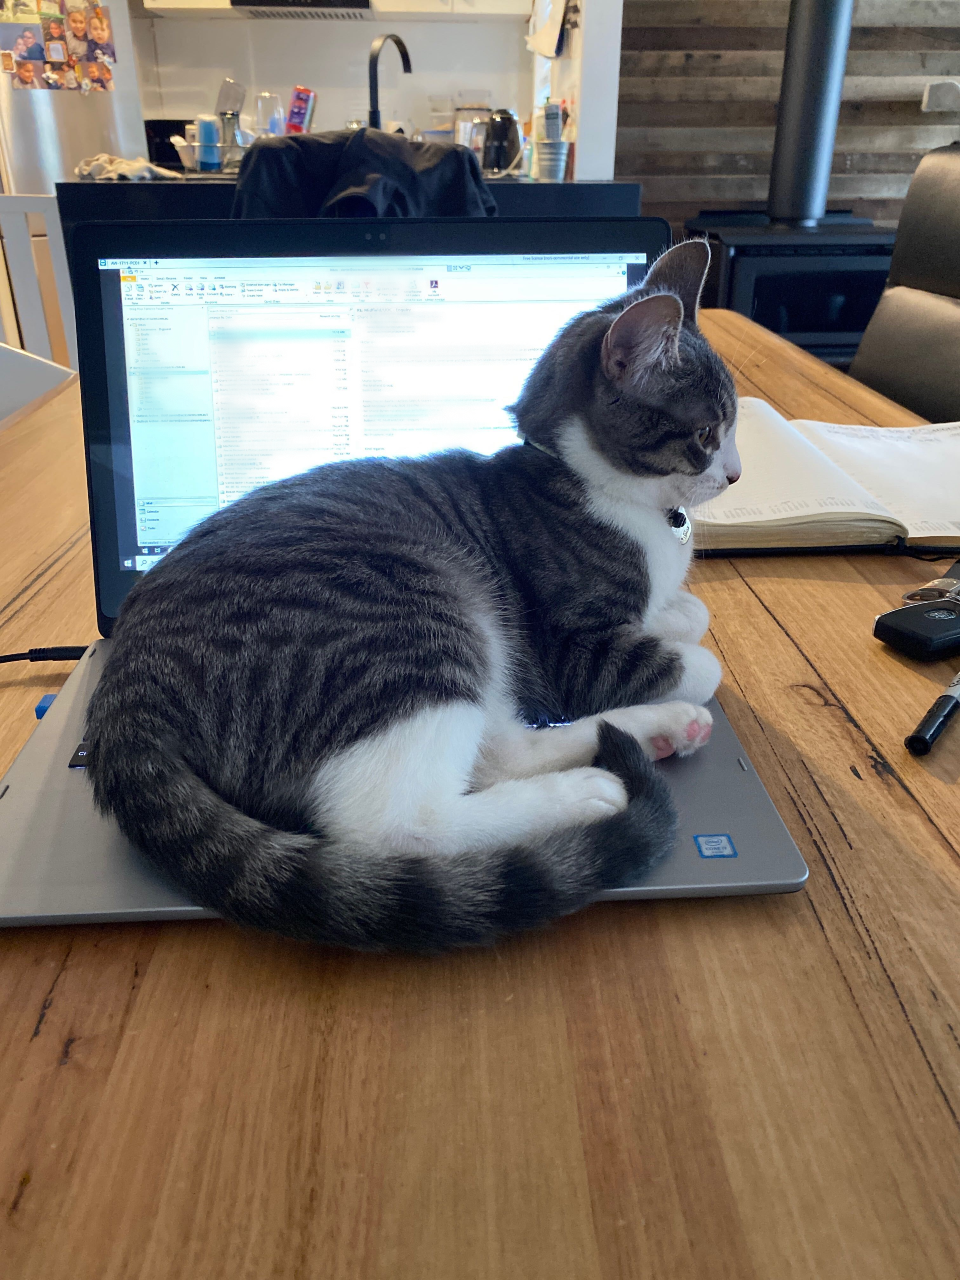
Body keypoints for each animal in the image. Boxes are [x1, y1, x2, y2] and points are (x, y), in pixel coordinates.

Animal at [86, 238, 742, 952]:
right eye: (707, 434)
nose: (735, 474)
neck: (591, 483)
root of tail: (126, 682)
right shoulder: (574, 649)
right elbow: (697, 662)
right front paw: (685, 654)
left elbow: (693, 611)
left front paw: (676, 615)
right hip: (414, 626)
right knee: (400, 825)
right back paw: (588, 793)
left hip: (476, 647)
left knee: (496, 749)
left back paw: (658, 731)